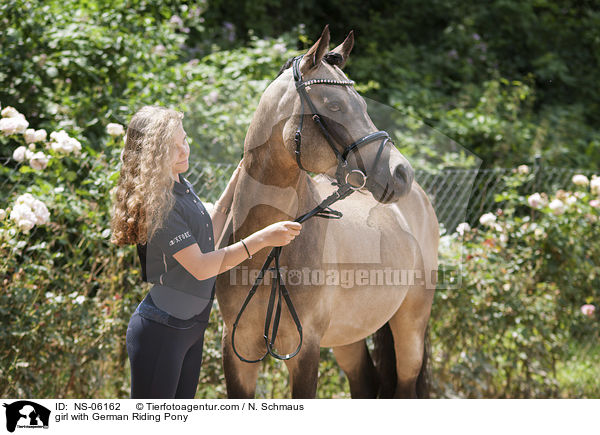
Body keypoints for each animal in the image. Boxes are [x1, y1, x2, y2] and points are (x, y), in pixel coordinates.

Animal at [213, 24, 438, 398]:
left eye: (362, 104)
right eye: (334, 105)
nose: (401, 173)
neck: (267, 251)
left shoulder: (306, 350)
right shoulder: (237, 348)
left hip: (410, 325)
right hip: (349, 335)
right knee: (365, 381)